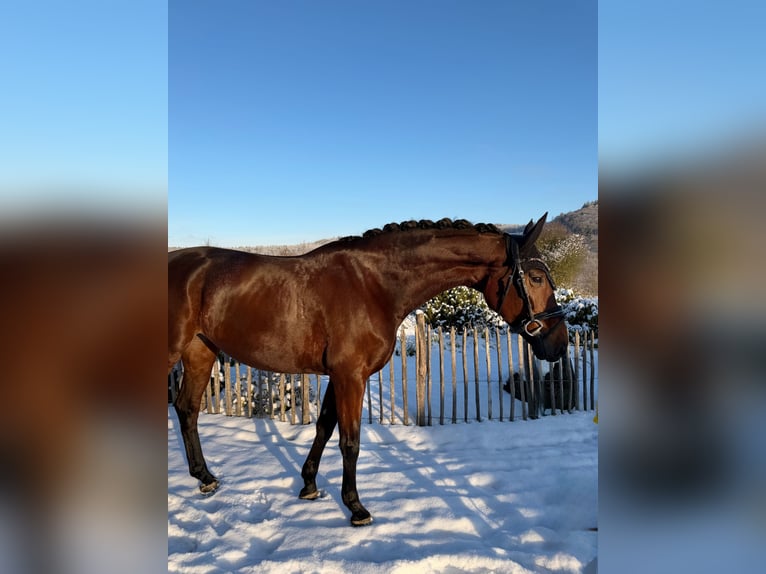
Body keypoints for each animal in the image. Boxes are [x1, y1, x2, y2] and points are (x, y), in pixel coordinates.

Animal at [168, 214, 567, 526]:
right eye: (535, 277)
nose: (559, 344)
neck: (374, 284)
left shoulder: (340, 376)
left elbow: (324, 428)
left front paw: (309, 486)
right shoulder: (351, 376)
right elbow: (350, 441)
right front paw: (356, 508)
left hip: (201, 351)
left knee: (187, 409)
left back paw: (205, 478)